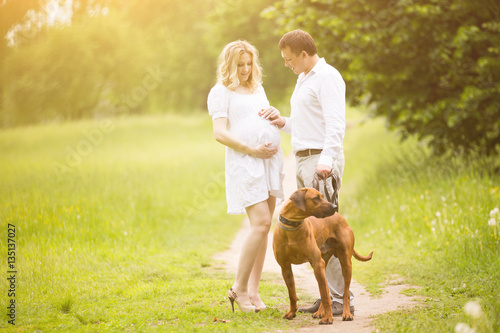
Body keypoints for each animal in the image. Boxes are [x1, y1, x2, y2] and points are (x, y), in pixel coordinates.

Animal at [272, 188, 374, 322]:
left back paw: (346, 313)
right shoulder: (285, 267)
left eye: (322, 196)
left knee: (344, 293)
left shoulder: (316, 262)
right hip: (322, 266)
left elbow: (325, 296)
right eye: (316, 198)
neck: (292, 226)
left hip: (344, 264)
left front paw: (328, 318)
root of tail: (342, 218)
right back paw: (320, 312)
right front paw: (292, 312)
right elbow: (292, 294)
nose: (335, 207)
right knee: (324, 289)